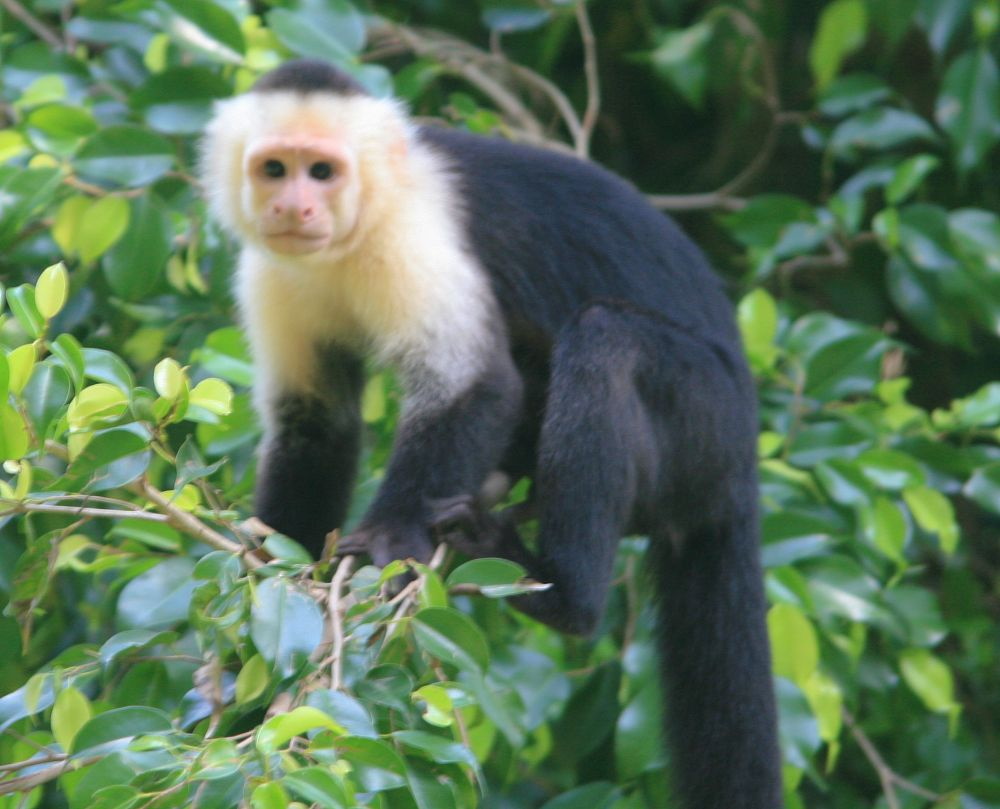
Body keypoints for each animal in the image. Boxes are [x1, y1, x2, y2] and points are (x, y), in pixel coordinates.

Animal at [203, 58, 780, 808]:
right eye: (275, 169)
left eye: (322, 172)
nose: (294, 208)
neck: (358, 231)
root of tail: (742, 465)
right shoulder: (275, 270)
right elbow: (315, 425)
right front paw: (282, 600)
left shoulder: (412, 234)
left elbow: (474, 384)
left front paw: (389, 536)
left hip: (706, 425)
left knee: (604, 339)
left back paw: (561, 593)